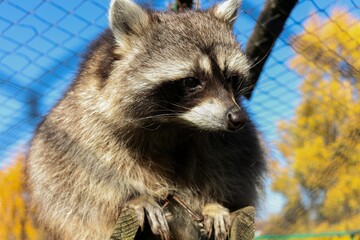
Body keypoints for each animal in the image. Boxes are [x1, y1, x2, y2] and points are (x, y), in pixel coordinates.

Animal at [26, 0, 266, 239]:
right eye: (191, 81)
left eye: (230, 78)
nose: (238, 118)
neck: (177, 123)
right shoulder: (87, 122)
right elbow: (86, 174)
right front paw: (135, 196)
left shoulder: (225, 137)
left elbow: (231, 160)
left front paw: (213, 202)